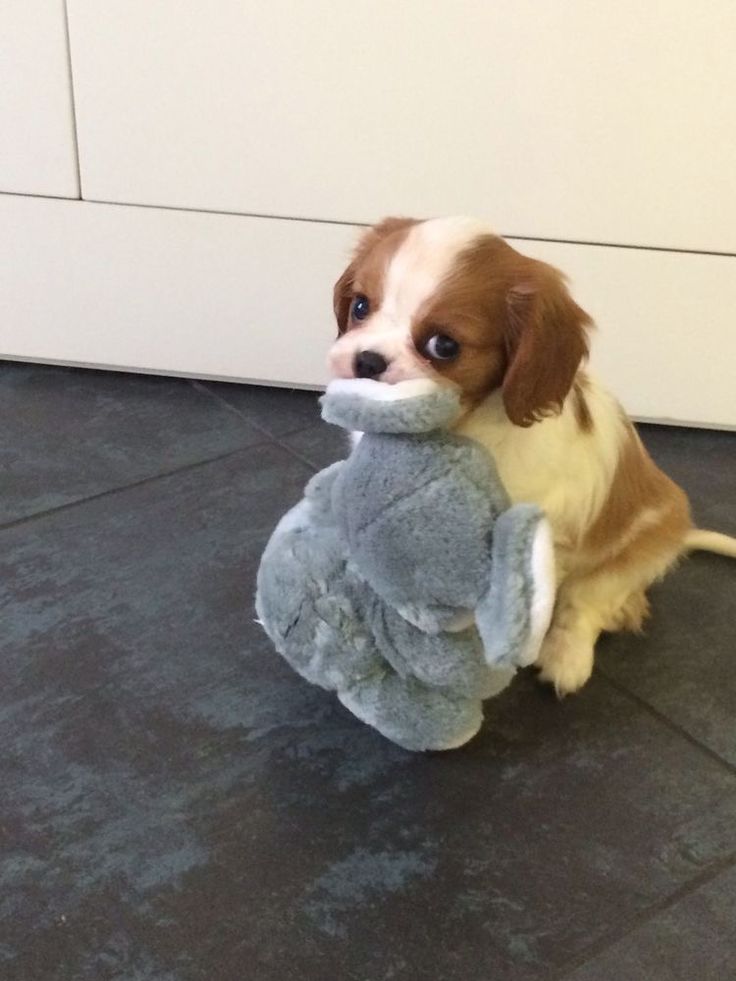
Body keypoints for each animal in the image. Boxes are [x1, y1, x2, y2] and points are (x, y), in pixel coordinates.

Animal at [330, 217, 736, 696]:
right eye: (360, 306)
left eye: (443, 346)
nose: (367, 361)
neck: (456, 430)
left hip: (632, 551)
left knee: (586, 605)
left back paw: (570, 655)